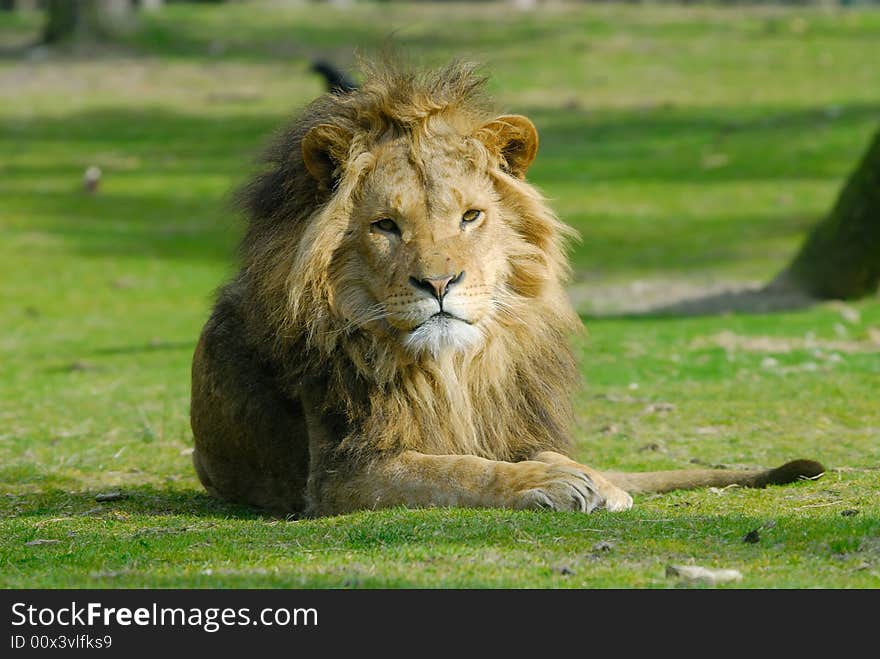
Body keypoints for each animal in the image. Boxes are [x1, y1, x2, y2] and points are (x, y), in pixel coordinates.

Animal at [187, 60, 824, 516]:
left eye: (470, 217)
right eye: (386, 226)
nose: (439, 282)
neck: (451, 369)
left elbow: (536, 453)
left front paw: (591, 478)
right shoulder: (342, 474)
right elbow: (456, 469)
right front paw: (553, 483)